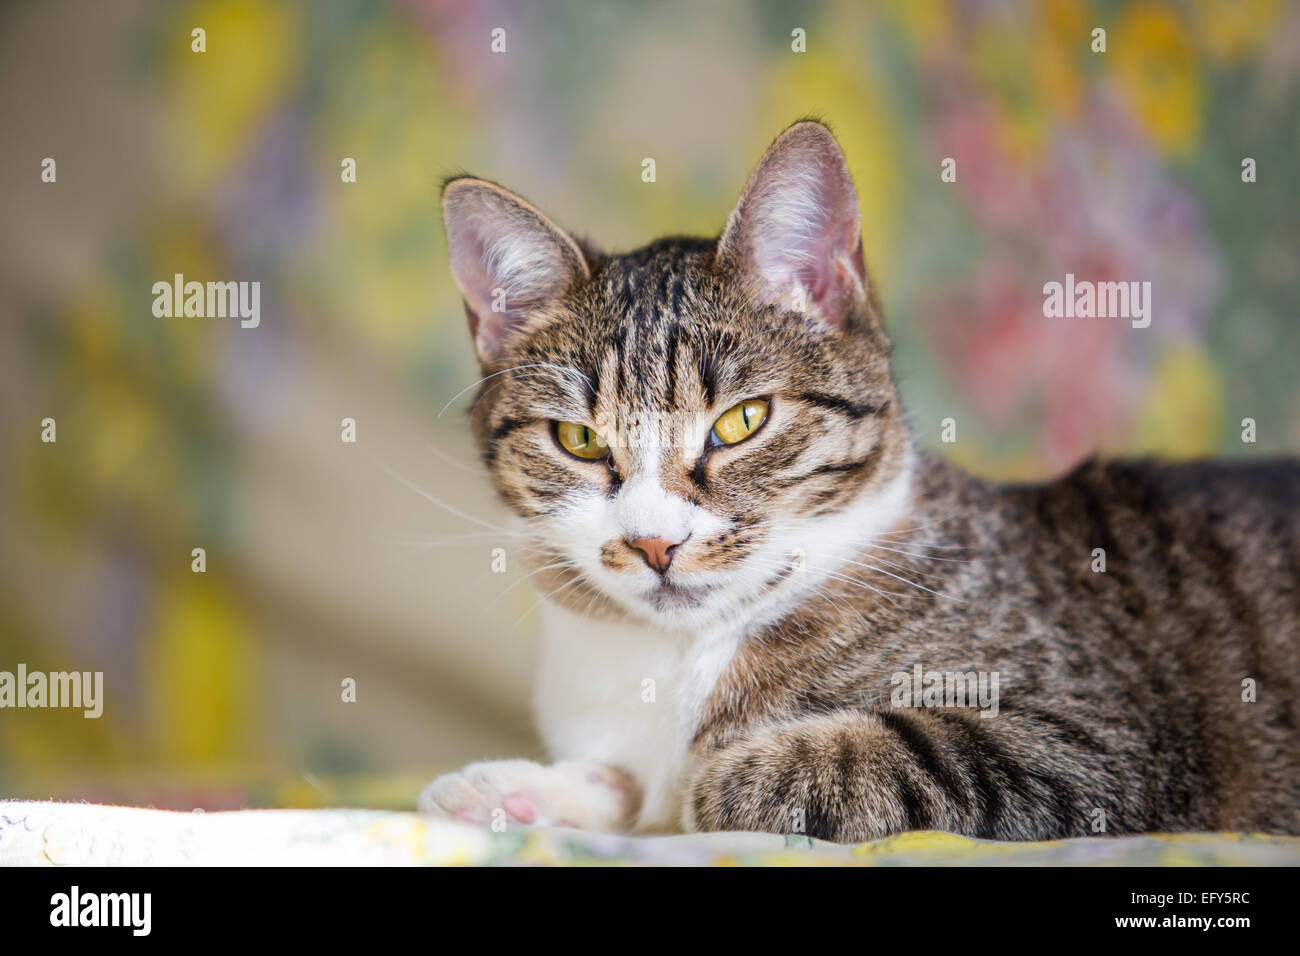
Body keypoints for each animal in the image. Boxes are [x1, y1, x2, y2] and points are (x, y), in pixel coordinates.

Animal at [418, 121, 1300, 842]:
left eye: (742, 421)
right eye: (579, 440)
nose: (655, 544)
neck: (678, 658)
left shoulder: (1100, 735)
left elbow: (893, 757)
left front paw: (717, 774)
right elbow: (630, 785)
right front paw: (521, 791)